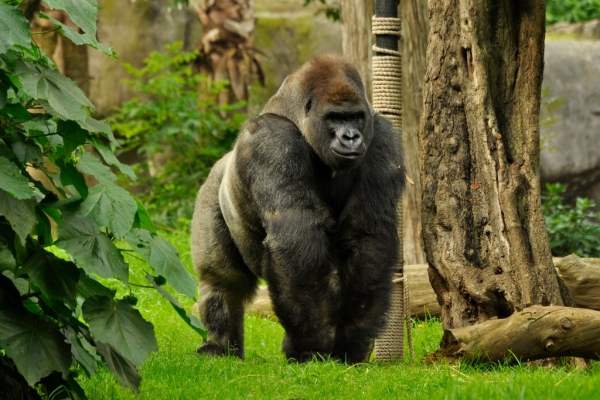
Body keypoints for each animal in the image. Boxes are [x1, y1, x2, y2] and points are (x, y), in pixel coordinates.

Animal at [191, 54, 408, 364]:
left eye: (355, 117)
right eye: (335, 118)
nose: (351, 137)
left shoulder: (381, 138)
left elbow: (367, 238)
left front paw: (351, 339)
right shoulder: (272, 140)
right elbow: (297, 238)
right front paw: (310, 344)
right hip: (210, 192)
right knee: (222, 281)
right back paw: (220, 345)